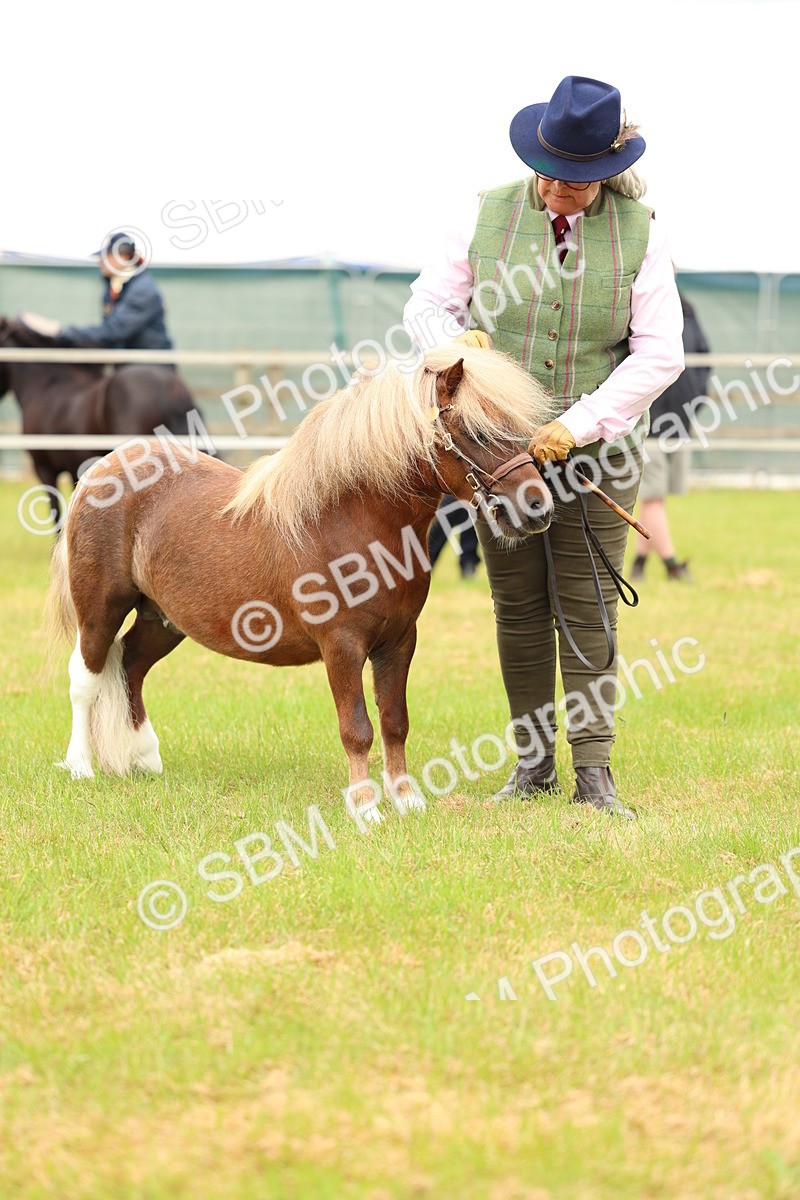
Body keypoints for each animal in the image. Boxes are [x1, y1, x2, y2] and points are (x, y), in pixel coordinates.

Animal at [46, 345, 555, 823]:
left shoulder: (399, 641)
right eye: (475, 432)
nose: (538, 507)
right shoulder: (342, 645)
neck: (352, 520)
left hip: (162, 619)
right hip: (101, 609)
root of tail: (103, 469)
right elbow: (357, 728)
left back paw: (145, 761)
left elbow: (395, 721)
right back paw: (81, 766)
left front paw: (406, 801)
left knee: (131, 667)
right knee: (85, 678)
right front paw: (365, 807)